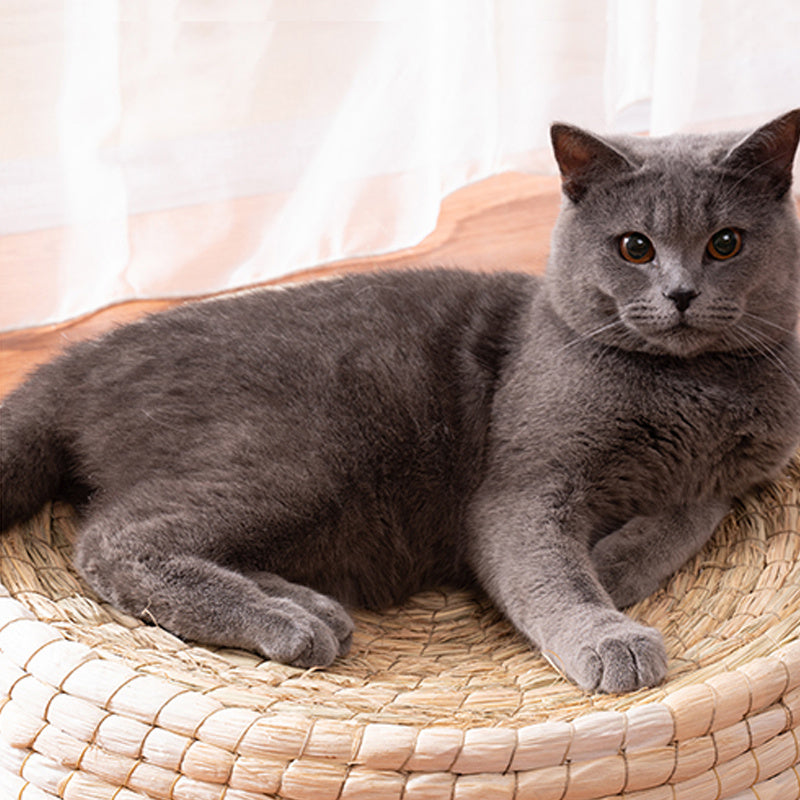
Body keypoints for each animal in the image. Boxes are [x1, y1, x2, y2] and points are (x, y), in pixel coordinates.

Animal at [1, 109, 800, 692]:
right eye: (634, 247)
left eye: (726, 243)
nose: (682, 293)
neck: (693, 390)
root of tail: (79, 359)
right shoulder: (521, 486)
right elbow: (553, 572)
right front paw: (609, 631)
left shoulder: (733, 476)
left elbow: (691, 516)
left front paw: (618, 565)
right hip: (306, 453)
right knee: (114, 538)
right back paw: (285, 623)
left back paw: (310, 606)